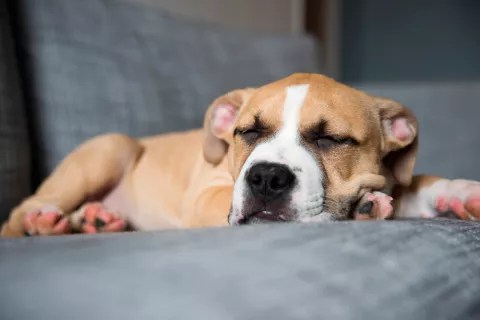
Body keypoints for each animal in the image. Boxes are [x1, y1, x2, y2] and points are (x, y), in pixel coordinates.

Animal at [0, 73, 480, 238]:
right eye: (247, 132)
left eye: (331, 140)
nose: (266, 177)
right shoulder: (205, 196)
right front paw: (366, 207)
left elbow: (418, 184)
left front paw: (460, 194)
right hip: (110, 147)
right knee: (20, 212)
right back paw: (43, 223)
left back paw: (94, 220)